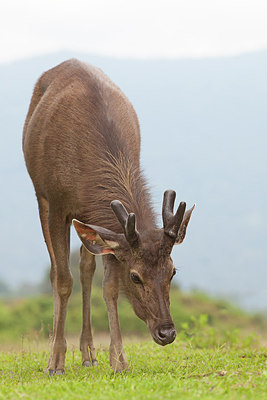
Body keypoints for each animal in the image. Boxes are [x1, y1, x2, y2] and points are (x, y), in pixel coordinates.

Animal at [22, 58, 195, 376]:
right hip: (40, 193)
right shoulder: (57, 203)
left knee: (86, 267)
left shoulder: (112, 228)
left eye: (173, 271)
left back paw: (89, 353)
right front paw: (55, 362)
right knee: (56, 271)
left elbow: (110, 288)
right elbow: (62, 280)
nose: (167, 332)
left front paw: (119, 360)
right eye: (136, 276)